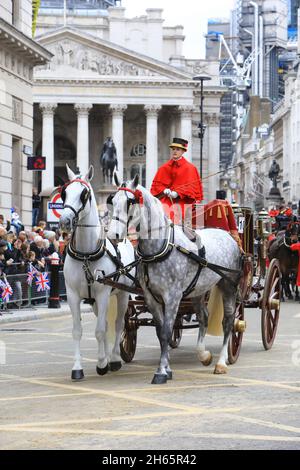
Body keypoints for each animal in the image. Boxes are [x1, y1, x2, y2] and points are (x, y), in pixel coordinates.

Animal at [58, 163, 135, 380]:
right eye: (64, 192)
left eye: (84, 194)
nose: (64, 221)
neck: (86, 254)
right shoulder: (73, 295)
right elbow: (78, 331)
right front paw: (77, 368)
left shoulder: (102, 294)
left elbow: (100, 331)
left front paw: (102, 363)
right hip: (95, 301)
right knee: (108, 324)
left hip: (121, 295)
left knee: (118, 324)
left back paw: (114, 359)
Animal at [106, 174, 243, 384]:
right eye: (112, 200)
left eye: (130, 201)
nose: (112, 235)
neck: (160, 248)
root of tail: (227, 234)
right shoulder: (151, 297)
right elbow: (161, 331)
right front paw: (167, 368)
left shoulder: (172, 297)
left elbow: (166, 332)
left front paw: (161, 372)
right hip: (198, 289)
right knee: (203, 317)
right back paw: (203, 355)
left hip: (228, 285)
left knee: (228, 321)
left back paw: (221, 362)